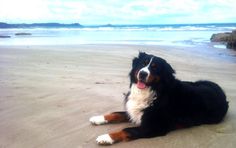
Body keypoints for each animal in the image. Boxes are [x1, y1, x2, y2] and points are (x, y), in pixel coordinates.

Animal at [89, 51, 229, 145]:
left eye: (155, 67)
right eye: (143, 64)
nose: (143, 74)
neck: (152, 91)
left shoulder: (153, 126)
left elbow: (126, 130)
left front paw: (106, 137)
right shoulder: (134, 111)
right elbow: (116, 113)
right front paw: (98, 118)